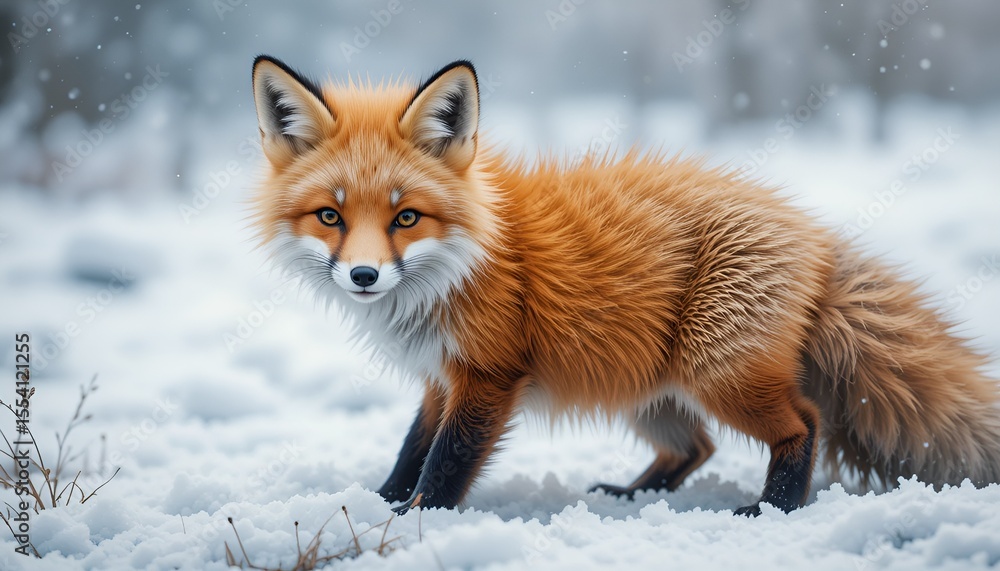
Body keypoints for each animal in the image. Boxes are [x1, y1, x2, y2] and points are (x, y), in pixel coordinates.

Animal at [249, 55, 1000, 517]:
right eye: (330, 216)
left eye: (406, 217)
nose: (364, 275)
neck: (466, 260)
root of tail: (813, 233)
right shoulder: (442, 375)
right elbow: (412, 447)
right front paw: (381, 500)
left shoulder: (489, 375)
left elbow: (447, 460)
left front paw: (412, 519)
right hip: (649, 389)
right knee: (696, 446)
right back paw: (631, 494)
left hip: (716, 369)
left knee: (803, 423)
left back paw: (773, 507)